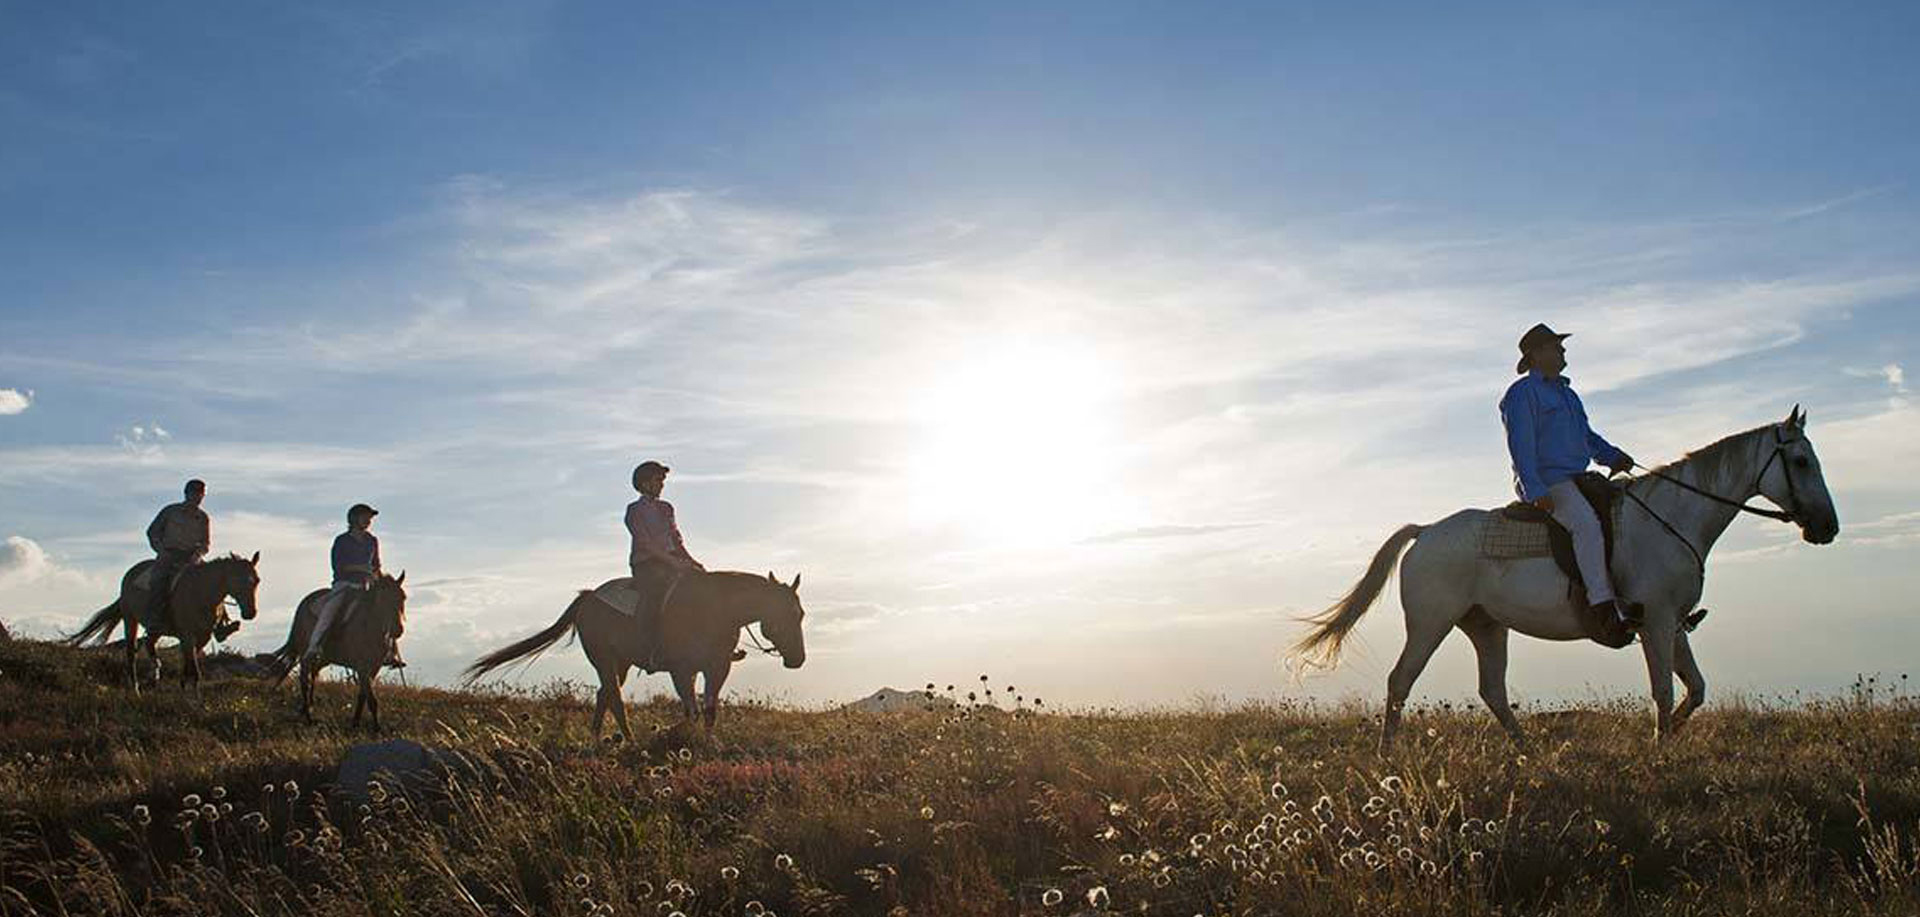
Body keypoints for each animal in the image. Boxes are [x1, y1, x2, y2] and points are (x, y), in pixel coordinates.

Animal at [64, 552, 263, 694]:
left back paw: (155, 675)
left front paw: (183, 688)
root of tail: (130, 574)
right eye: (237, 579)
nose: (250, 613)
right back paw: (136, 689)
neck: (203, 593)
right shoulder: (187, 635)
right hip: (131, 620)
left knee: (149, 644)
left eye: (257, 580)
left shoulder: (202, 637)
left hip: (156, 628)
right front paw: (194, 699)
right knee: (131, 653)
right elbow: (194, 669)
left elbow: (188, 663)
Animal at [266, 571, 408, 728]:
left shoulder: (373, 668)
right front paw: (376, 728)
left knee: (313, 674)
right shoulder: (362, 668)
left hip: (323, 659)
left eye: (403, 597)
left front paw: (355, 723)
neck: (369, 626)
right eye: (382, 599)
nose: (398, 630)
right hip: (305, 655)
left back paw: (308, 706)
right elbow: (371, 700)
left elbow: (363, 696)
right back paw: (308, 716)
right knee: (304, 679)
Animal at [466, 567, 810, 732]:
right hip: (604, 659)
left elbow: (710, 712)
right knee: (615, 699)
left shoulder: (717, 668)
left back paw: (598, 740)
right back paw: (628, 741)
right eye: (784, 615)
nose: (797, 660)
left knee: (604, 695)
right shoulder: (681, 670)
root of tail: (587, 598)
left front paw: (709, 745)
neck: (715, 610)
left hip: (621, 663)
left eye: (801, 614)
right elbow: (691, 711)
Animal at [1297, 408, 1835, 744]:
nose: (1827, 528)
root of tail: (1426, 532)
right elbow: (1663, 690)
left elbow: (1695, 689)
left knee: (1492, 692)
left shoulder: (1673, 624)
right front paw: (1660, 749)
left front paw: (1672, 735)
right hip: (1431, 624)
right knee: (1400, 682)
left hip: (1486, 626)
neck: (1673, 517)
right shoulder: (1657, 623)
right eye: (1801, 461)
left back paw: (1528, 753)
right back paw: (1389, 754)